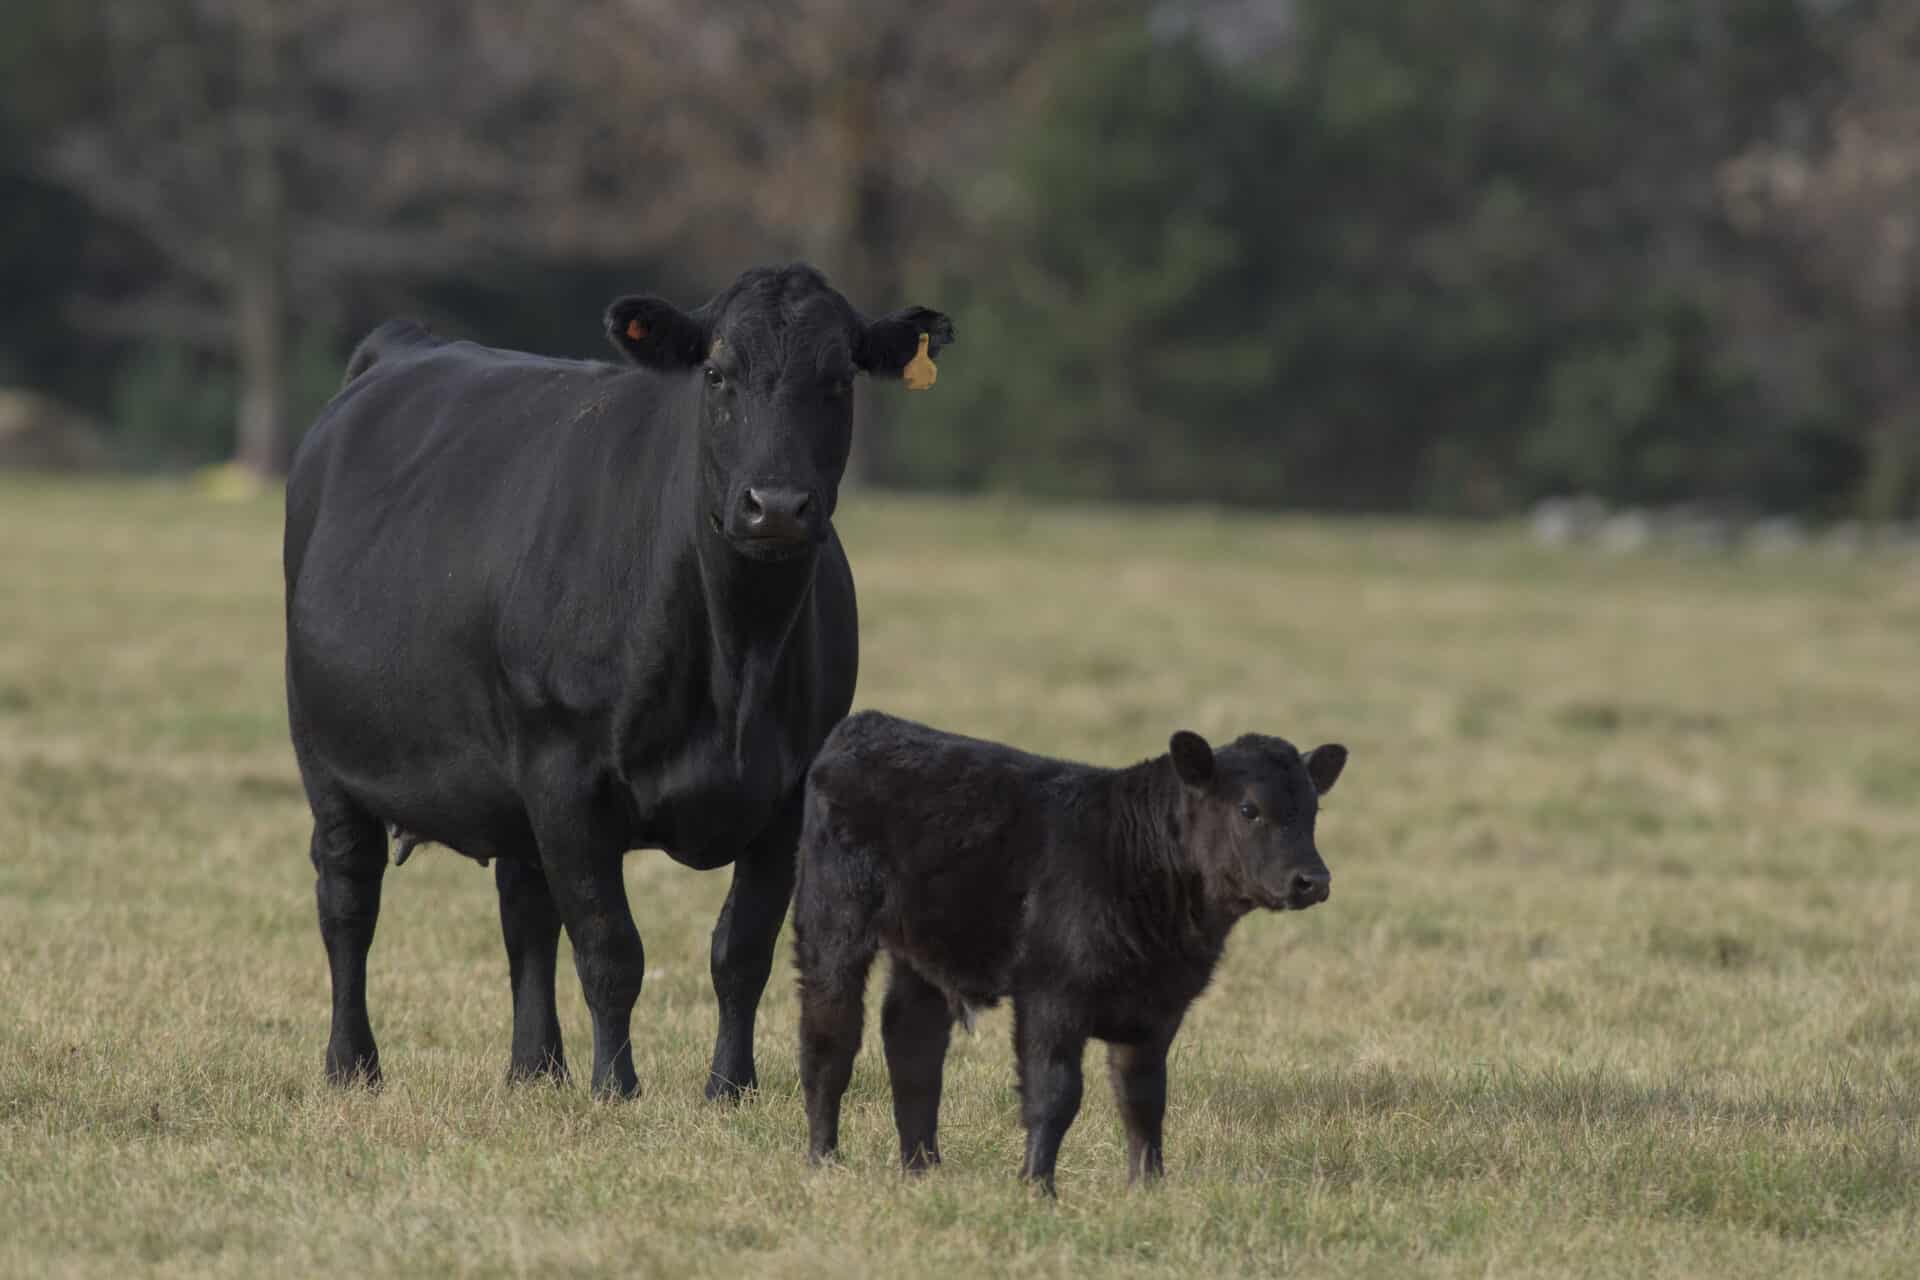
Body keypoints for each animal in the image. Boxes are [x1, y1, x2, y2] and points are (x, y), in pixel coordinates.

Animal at [282, 262, 952, 1105]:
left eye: (838, 379)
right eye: (717, 373)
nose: (775, 506)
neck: (736, 661)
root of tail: (402, 344)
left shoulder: (789, 792)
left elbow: (742, 950)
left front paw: (729, 1088)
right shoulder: (567, 776)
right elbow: (610, 947)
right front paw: (616, 1088)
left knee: (525, 911)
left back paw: (536, 1068)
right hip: (326, 756)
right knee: (348, 898)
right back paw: (353, 1065)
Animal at [787, 717, 1344, 1197]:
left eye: (1314, 811)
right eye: (1249, 809)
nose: (1313, 880)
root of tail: (867, 725)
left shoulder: (1159, 1008)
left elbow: (1143, 1098)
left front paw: (1147, 1187)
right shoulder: (1053, 994)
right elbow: (1055, 1093)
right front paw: (1038, 1187)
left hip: (924, 952)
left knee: (912, 1045)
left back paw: (922, 1168)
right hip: (831, 923)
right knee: (830, 1037)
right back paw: (824, 1160)